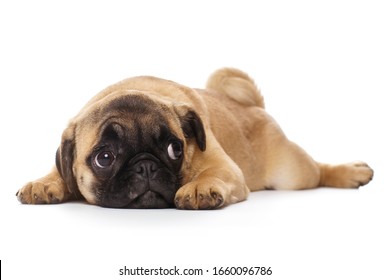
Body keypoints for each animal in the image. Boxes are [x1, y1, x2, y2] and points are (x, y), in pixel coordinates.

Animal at [16, 68, 374, 208]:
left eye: (175, 148)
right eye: (104, 158)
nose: (145, 166)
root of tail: (252, 106)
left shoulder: (226, 169)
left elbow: (212, 174)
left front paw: (199, 188)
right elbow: (58, 170)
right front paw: (43, 183)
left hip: (293, 172)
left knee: (318, 170)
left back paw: (352, 172)